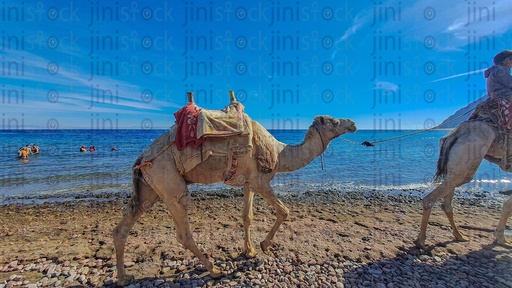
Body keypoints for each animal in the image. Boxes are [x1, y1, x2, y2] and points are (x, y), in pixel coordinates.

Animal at [112, 95, 356, 286]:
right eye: (334, 121)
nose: (353, 123)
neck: (278, 152)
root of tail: (142, 158)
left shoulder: (248, 182)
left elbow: (247, 216)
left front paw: (249, 251)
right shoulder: (260, 181)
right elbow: (284, 211)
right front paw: (264, 245)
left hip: (149, 187)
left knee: (123, 226)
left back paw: (124, 278)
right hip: (168, 179)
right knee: (183, 229)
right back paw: (214, 270)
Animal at [416, 118, 512, 249]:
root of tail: (455, 134)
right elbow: (508, 204)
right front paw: (501, 239)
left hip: (454, 167)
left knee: (446, 204)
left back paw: (459, 235)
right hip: (465, 165)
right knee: (431, 199)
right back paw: (421, 241)